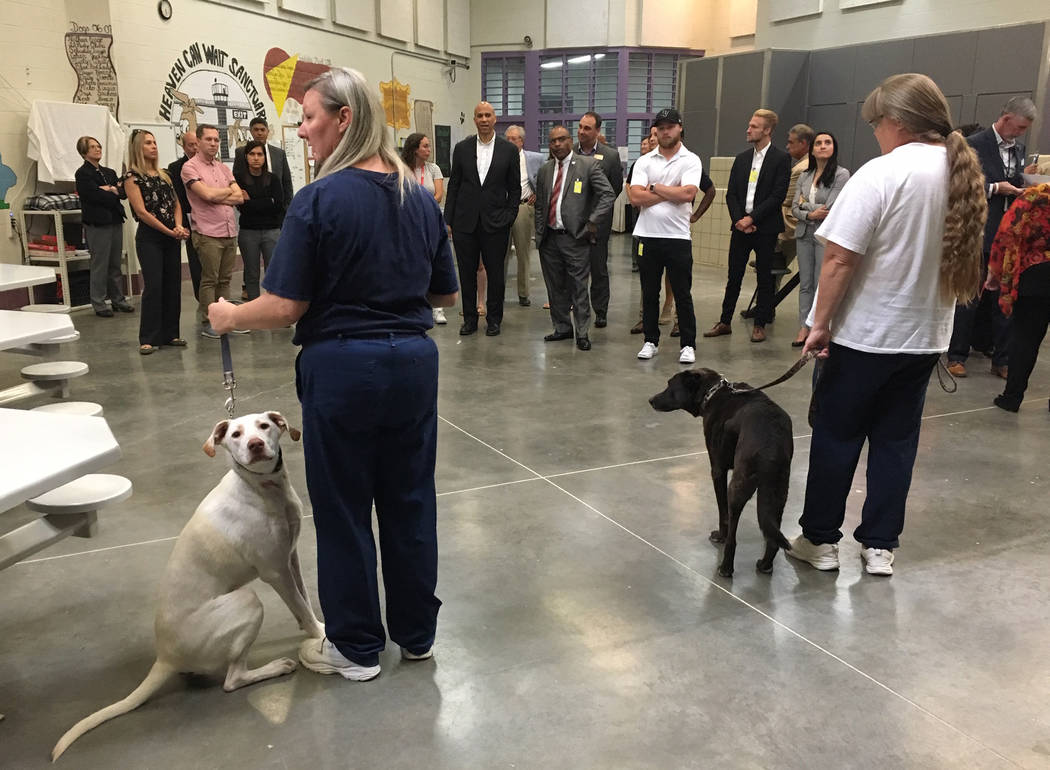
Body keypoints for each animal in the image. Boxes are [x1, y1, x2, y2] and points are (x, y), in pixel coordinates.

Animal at [52, 411, 323, 760]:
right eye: (235, 434)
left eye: (264, 426)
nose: (255, 444)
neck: (262, 488)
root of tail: (165, 657)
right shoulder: (274, 571)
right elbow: (299, 605)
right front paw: (322, 636)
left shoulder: (290, 558)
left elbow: (304, 602)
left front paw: (316, 626)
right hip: (247, 600)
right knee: (232, 680)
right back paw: (275, 667)